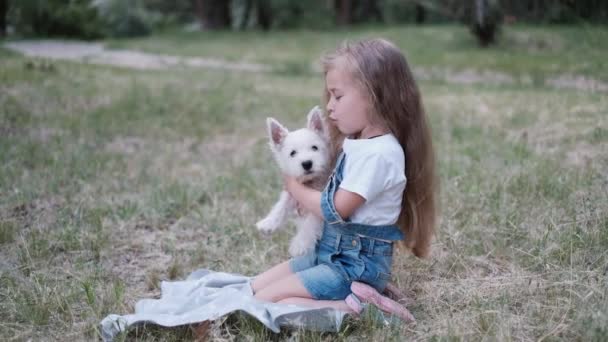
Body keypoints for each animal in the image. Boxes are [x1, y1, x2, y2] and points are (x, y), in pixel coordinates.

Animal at [256, 105, 332, 255]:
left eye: (314, 147)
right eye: (292, 153)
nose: (307, 163)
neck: (309, 182)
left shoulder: (319, 203)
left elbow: (310, 223)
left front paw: (299, 245)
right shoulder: (293, 193)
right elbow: (281, 206)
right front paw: (268, 223)